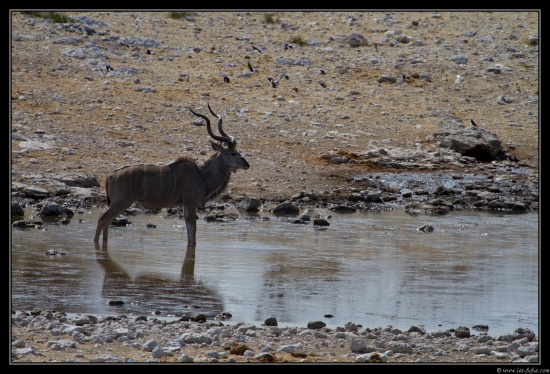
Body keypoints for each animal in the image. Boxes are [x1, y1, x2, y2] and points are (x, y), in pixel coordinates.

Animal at [94, 103, 250, 247]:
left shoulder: (185, 206)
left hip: (120, 203)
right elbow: (192, 231)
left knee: (107, 220)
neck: (202, 174)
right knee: (102, 219)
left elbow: (189, 231)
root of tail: (110, 177)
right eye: (233, 153)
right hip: (121, 202)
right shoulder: (190, 203)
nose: (247, 164)